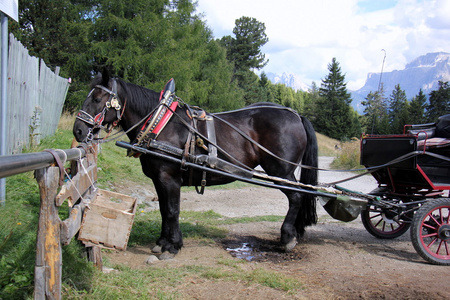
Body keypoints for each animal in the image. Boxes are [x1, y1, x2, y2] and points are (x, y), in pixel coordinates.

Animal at [74, 73, 318, 260]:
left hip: (281, 171)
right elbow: (163, 209)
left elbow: (172, 210)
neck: (162, 123)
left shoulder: (169, 178)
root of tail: (296, 115)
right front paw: (162, 242)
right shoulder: (158, 179)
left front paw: (172, 246)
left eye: (97, 97)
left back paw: (287, 237)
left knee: (297, 197)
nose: (78, 130)